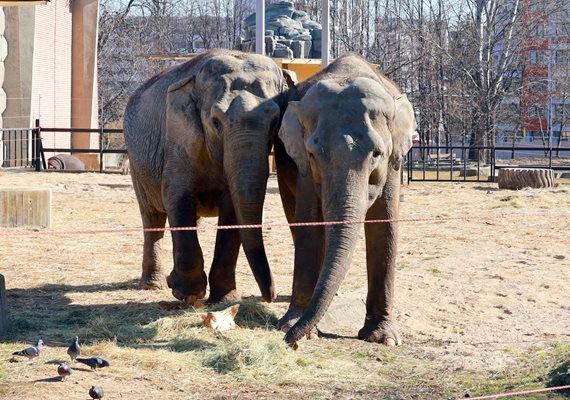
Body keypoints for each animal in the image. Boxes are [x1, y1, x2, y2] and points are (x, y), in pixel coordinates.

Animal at [122, 47, 290, 304]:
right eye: (216, 122)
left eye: (275, 121)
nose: (271, 296)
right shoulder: (178, 137)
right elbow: (177, 196)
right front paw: (187, 293)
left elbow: (231, 209)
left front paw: (224, 299)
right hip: (136, 162)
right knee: (152, 216)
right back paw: (153, 285)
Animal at [272, 53, 414, 346]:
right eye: (313, 154)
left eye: (377, 154)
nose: (289, 341)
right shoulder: (303, 166)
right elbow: (308, 223)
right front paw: (292, 325)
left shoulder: (394, 162)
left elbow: (385, 224)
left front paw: (384, 337)